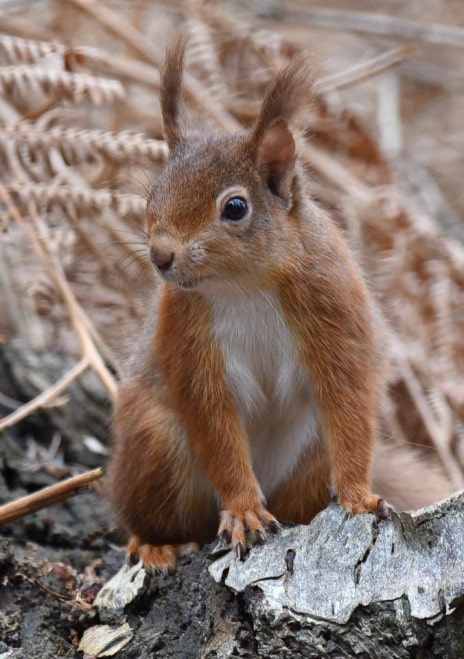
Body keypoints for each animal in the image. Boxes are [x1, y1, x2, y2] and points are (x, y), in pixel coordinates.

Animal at [108, 38, 450, 568]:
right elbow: (214, 426)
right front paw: (244, 510)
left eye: (235, 207)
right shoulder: (186, 335)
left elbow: (349, 402)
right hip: (154, 443)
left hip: (310, 459)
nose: (161, 256)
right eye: (153, 196)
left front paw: (357, 495)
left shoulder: (334, 310)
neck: (243, 285)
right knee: (157, 515)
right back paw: (155, 543)